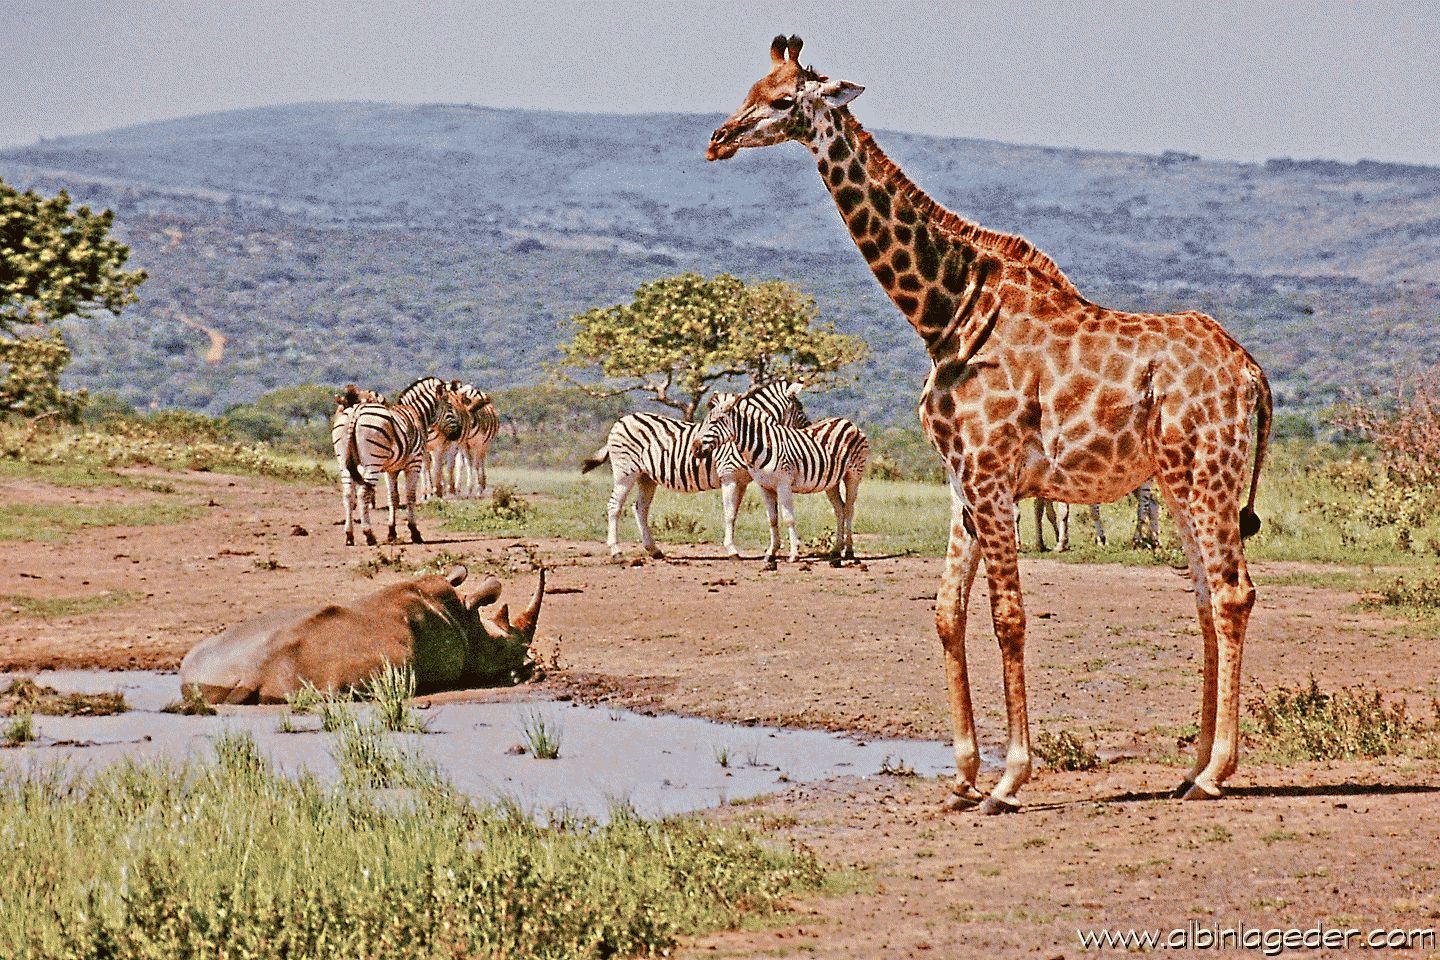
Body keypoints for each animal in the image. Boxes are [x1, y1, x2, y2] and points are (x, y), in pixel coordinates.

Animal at [342, 376, 449, 546]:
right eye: (449, 404)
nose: (456, 433)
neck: (416, 413)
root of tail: (356, 410)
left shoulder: (390, 470)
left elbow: (393, 498)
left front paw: (392, 533)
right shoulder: (414, 464)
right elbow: (410, 496)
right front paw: (415, 532)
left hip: (344, 462)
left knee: (347, 494)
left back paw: (349, 536)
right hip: (372, 463)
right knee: (363, 493)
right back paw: (369, 534)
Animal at [580, 381, 809, 559]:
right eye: (800, 409)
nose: (809, 427)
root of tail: (621, 421)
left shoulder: (742, 481)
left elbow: (734, 514)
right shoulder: (728, 477)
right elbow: (729, 514)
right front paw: (732, 551)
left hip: (646, 476)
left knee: (640, 509)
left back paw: (654, 550)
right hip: (625, 472)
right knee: (614, 507)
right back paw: (616, 552)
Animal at [696, 390, 869, 569]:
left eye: (715, 422)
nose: (695, 448)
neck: (762, 445)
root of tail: (847, 421)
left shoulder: (783, 484)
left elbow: (788, 518)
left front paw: (793, 554)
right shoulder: (764, 486)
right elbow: (772, 519)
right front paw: (771, 554)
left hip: (853, 475)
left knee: (849, 509)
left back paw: (849, 552)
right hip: (832, 481)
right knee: (839, 509)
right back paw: (835, 551)